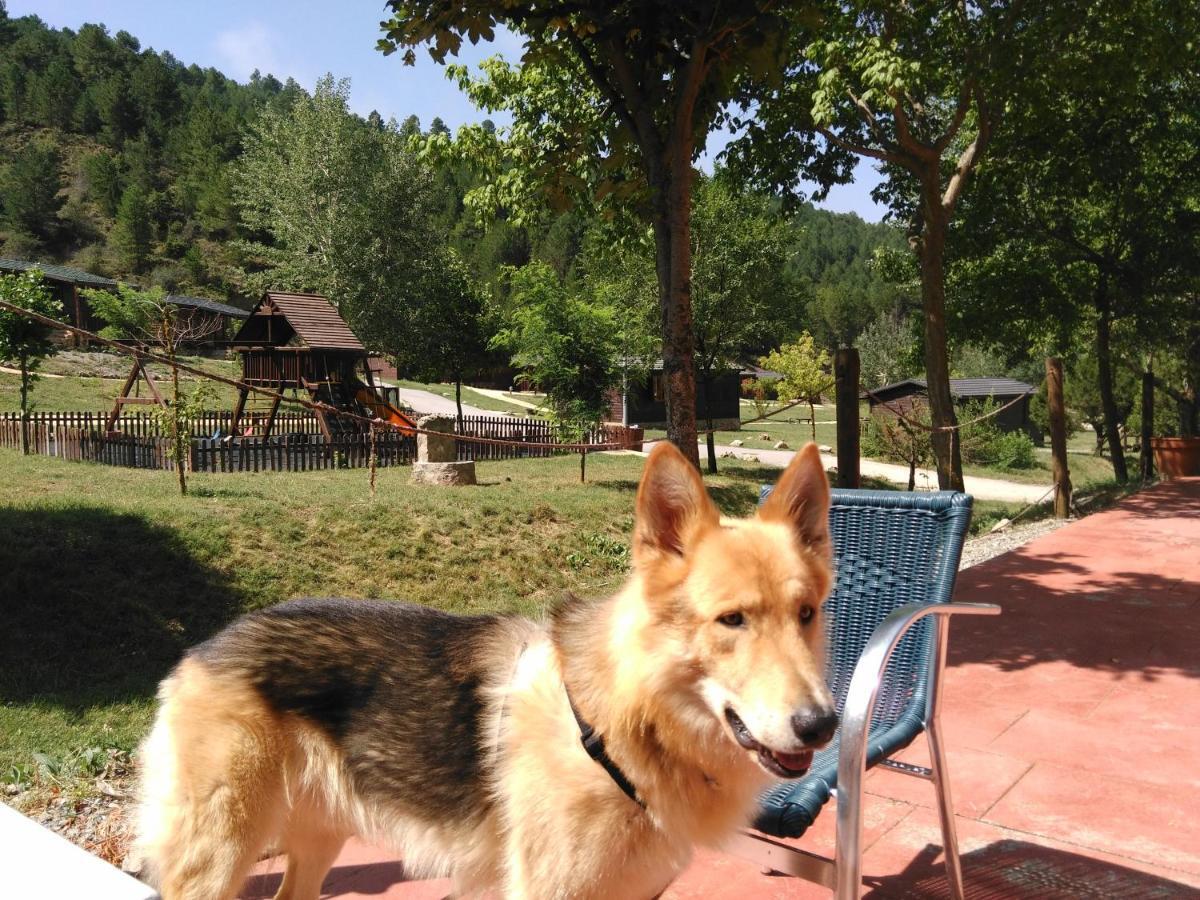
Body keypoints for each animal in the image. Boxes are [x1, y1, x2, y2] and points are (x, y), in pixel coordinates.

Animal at [133, 444, 835, 900]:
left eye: (805, 614)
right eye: (731, 620)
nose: (822, 726)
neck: (621, 727)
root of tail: (208, 643)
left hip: (316, 843)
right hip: (218, 861)